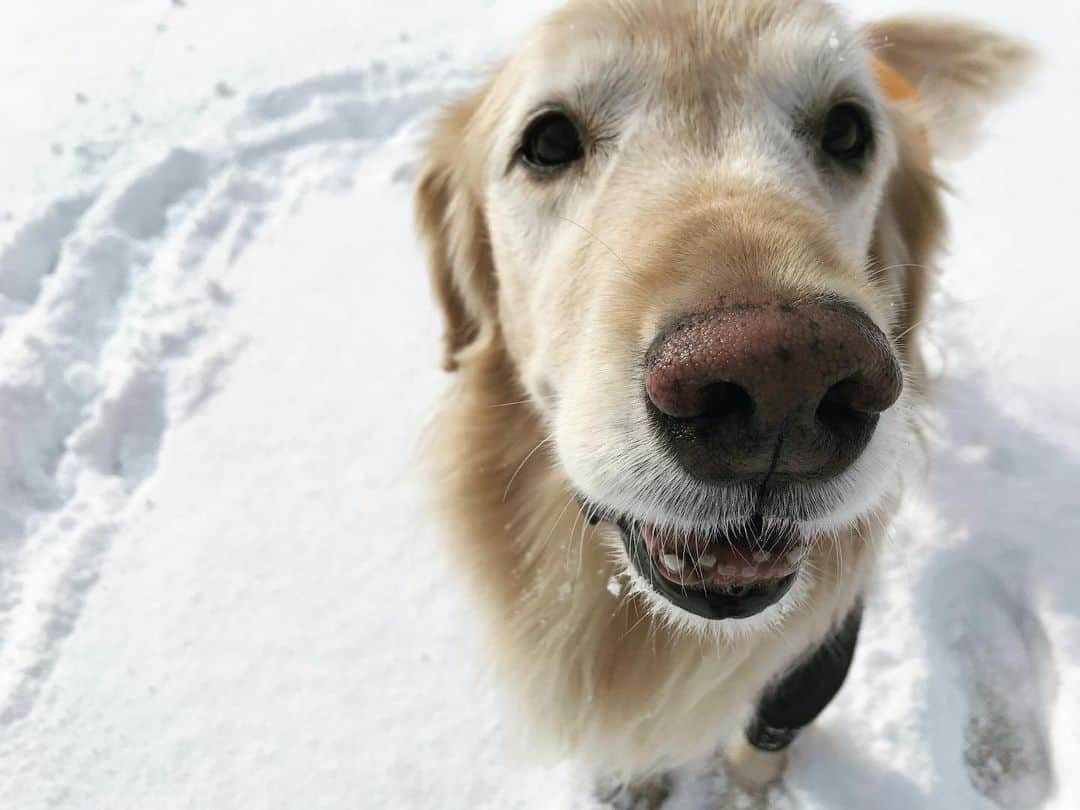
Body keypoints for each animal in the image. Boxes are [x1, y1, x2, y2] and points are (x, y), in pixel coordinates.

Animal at [412, 0, 1028, 799]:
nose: (784, 382)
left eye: (846, 131)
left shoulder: (811, 668)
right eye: (547, 140)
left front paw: (749, 795)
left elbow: (760, 747)